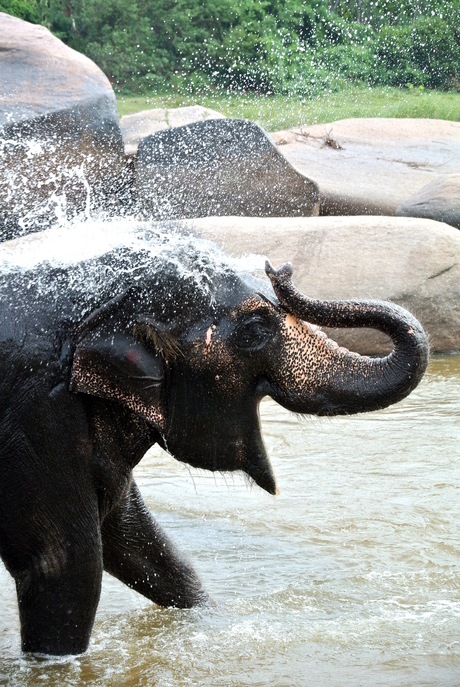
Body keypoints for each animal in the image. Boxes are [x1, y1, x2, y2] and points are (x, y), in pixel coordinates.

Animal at [0, 224, 428, 656]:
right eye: (254, 330)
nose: (280, 269)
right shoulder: (36, 413)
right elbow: (66, 563)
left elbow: (137, 538)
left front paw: (214, 620)